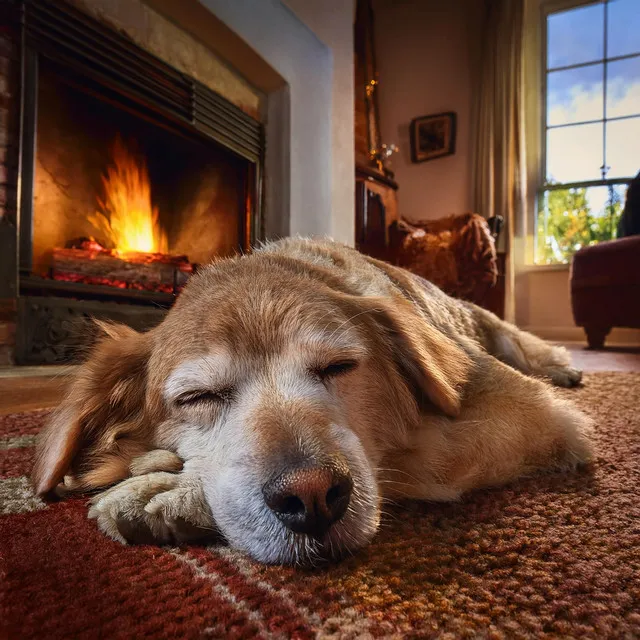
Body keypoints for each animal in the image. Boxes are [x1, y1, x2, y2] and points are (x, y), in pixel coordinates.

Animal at [31, 239, 592, 564]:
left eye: (339, 367)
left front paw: (171, 491)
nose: (312, 496)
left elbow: (407, 456)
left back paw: (563, 364)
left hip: (500, 336)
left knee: (526, 343)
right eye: (198, 396)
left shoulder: (529, 412)